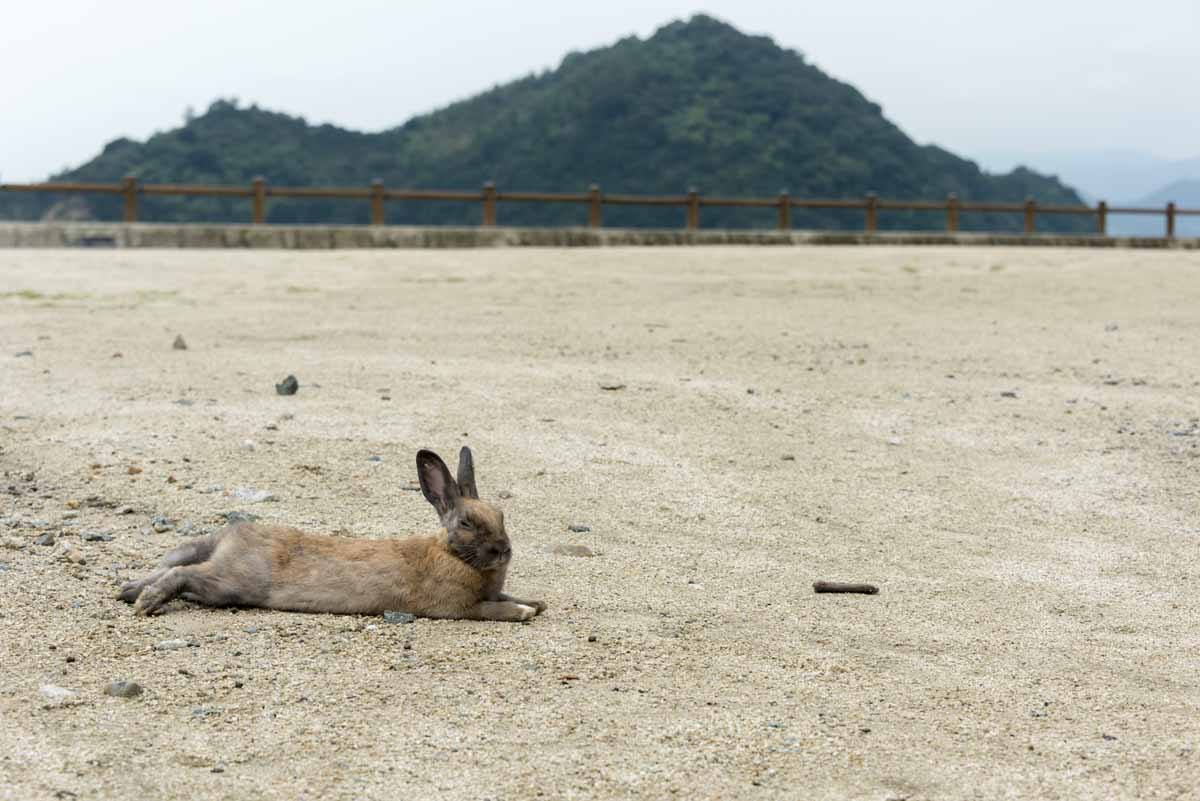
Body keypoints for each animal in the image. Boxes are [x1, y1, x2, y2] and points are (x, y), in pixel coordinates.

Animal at [114, 448, 547, 623]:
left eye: (502, 515)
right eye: (467, 524)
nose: (504, 551)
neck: (452, 553)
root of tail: (227, 538)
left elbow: (507, 595)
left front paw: (535, 602)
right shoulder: (458, 606)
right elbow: (492, 609)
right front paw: (523, 613)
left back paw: (131, 591)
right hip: (233, 583)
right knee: (185, 574)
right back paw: (147, 602)